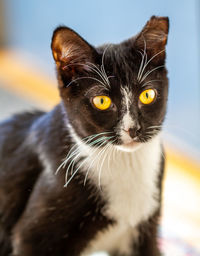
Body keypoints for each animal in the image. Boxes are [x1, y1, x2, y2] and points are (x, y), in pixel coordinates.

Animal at [0, 16, 169, 256]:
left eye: (147, 95)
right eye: (102, 101)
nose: (133, 129)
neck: (122, 160)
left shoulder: (145, 232)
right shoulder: (31, 238)